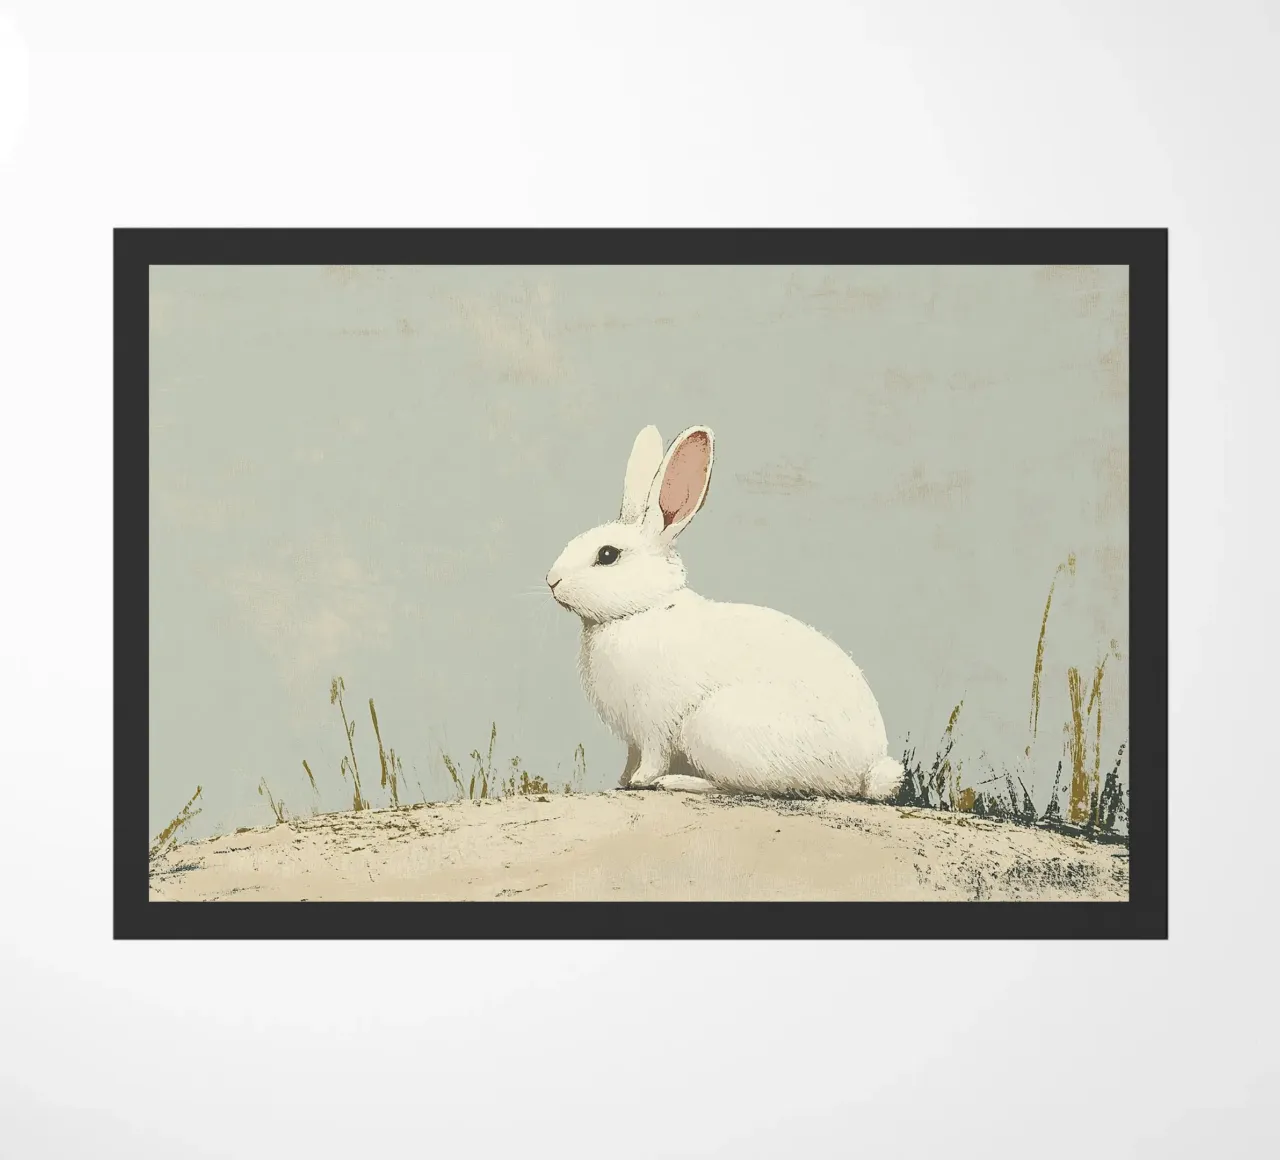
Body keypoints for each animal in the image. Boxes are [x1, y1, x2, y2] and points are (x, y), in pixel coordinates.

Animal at [545, 424, 904, 800]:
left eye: (608, 555)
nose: (551, 580)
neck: (642, 610)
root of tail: (866, 772)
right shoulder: (634, 736)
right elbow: (632, 757)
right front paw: (622, 780)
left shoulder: (654, 724)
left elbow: (654, 756)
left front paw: (640, 780)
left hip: (712, 728)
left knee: (745, 787)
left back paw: (677, 781)